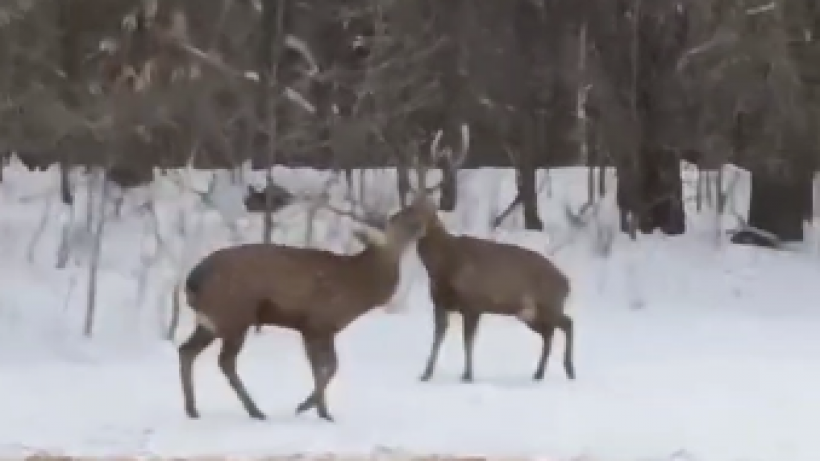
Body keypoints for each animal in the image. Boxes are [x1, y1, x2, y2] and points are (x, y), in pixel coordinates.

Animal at [177, 192, 432, 422]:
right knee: (225, 362)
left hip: (211, 321)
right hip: (234, 316)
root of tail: (192, 281)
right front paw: (309, 407)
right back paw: (255, 411)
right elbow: (328, 367)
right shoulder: (317, 323)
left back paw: (192, 409)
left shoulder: (316, 329)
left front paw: (321, 411)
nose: (420, 217)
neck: (356, 288)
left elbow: (323, 368)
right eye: (396, 221)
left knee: (186, 350)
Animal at [396, 124, 576, 382]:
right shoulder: (439, 303)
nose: (397, 222)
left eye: (426, 211)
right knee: (549, 333)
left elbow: (468, 342)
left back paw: (570, 370)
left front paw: (467, 375)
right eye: (409, 207)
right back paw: (538, 373)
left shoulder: (474, 302)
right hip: (528, 313)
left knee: (567, 324)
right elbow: (437, 339)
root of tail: (566, 282)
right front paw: (426, 374)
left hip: (548, 304)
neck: (444, 267)